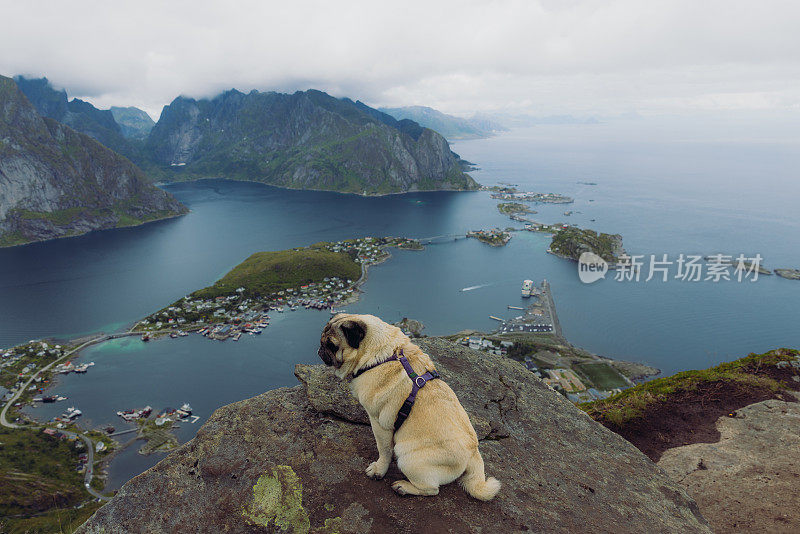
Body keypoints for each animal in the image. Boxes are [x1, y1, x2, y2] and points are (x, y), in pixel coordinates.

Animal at [318, 314, 500, 502]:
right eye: (323, 338)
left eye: (332, 345)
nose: (320, 348)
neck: (382, 354)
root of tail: (473, 452)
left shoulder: (379, 423)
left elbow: (384, 450)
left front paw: (379, 470)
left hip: (408, 458)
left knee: (431, 489)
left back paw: (403, 487)